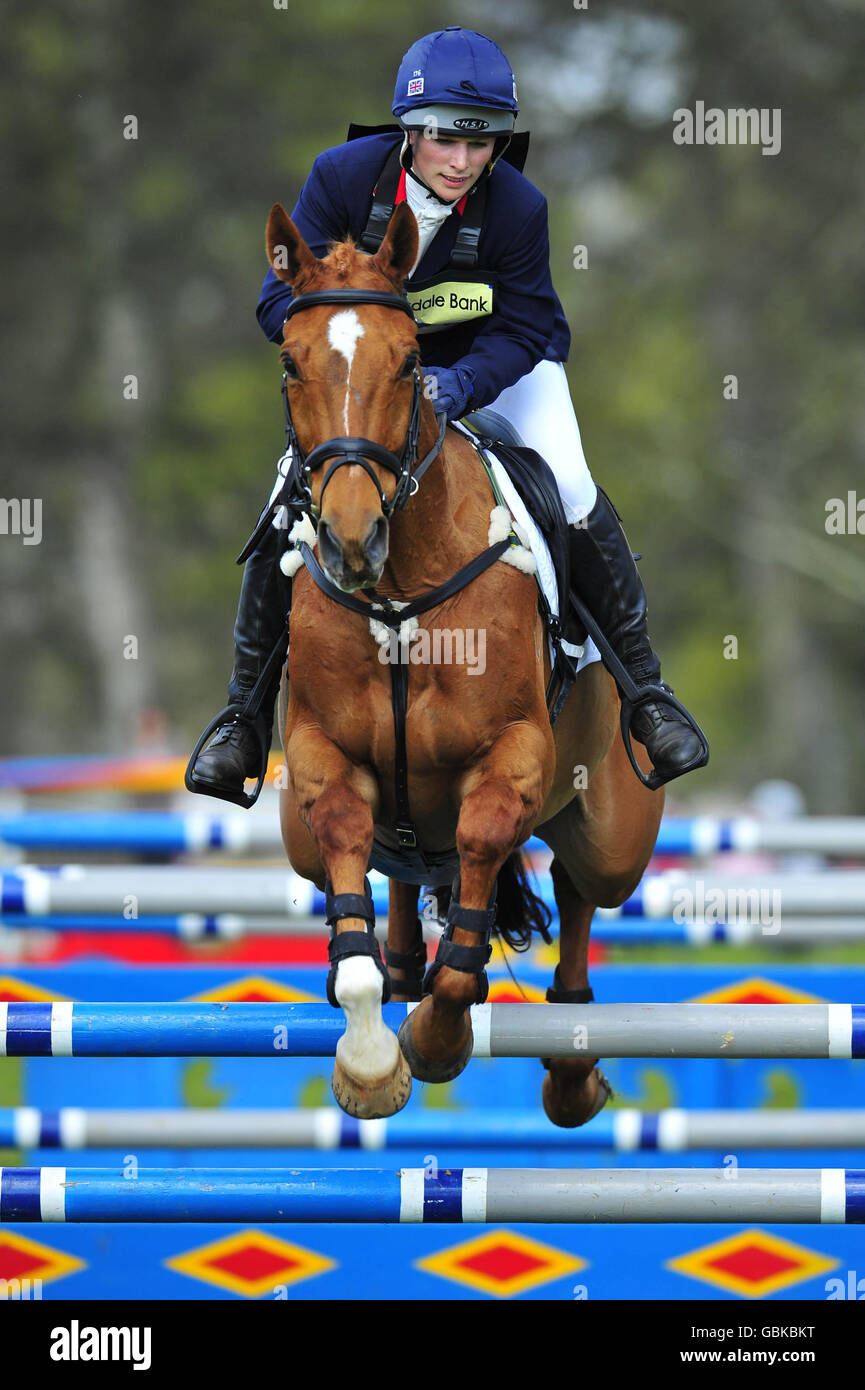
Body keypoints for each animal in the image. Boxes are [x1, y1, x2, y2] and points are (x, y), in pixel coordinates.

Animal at [271, 201, 664, 1123]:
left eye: (411, 361)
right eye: (291, 363)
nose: (351, 539)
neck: (398, 593)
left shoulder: (512, 757)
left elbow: (483, 850)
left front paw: (438, 1039)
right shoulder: (320, 755)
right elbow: (346, 847)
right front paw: (370, 1060)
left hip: (614, 833)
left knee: (578, 889)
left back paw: (570, 1070)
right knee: (398, 870)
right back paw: (403, 968)